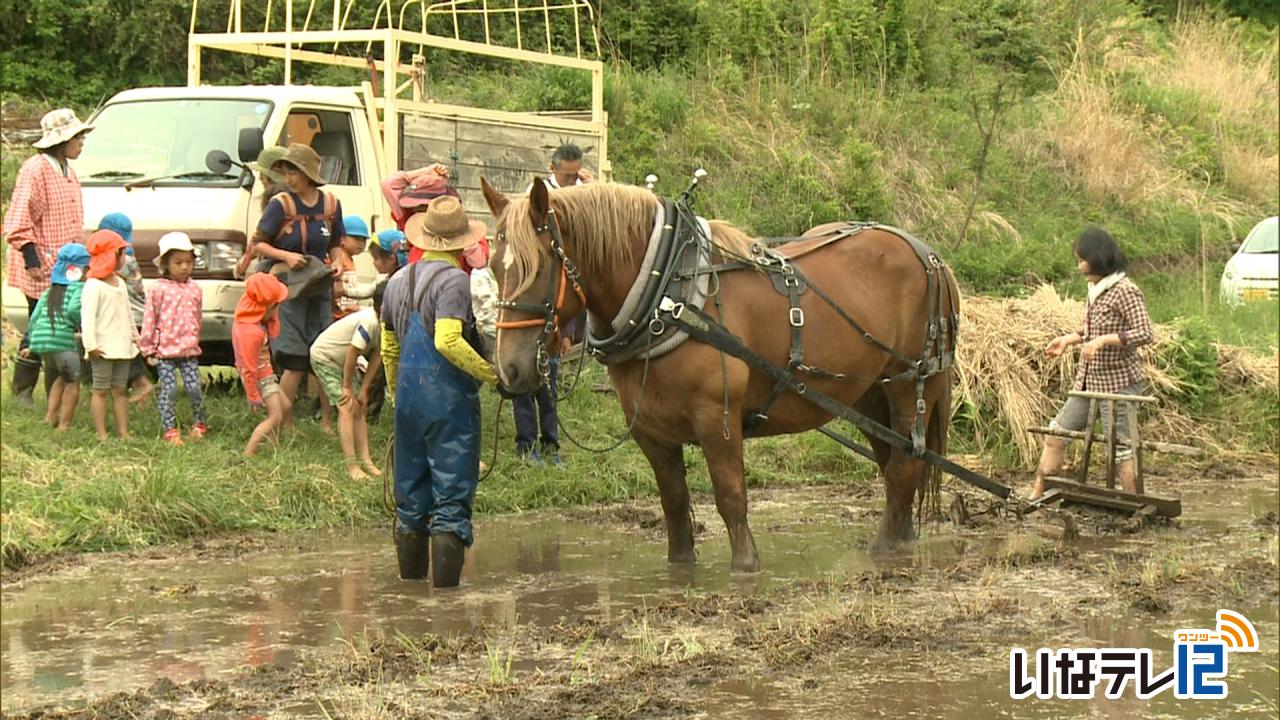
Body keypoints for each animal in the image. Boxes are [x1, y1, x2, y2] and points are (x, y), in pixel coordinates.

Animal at [481, 178, 962, 571]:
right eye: (496, 268)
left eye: (539, 267)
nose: (510, 369)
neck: (667, 293)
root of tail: (930, 256)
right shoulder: (651, 432)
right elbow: (675, 507)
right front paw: (680, 570)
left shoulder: (718, 421)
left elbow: (731, 499)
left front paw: (746, 570)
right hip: (868, 394)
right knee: (895, 464)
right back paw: (901, 539)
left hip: (911, 386)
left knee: (903, 467)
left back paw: (885, 550)